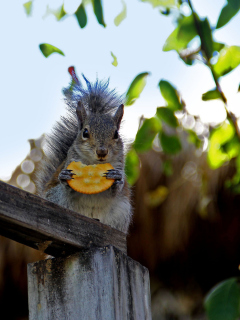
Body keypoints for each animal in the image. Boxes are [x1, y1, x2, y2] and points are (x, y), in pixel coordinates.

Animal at [35, 69, 132, 234]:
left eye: (116, 134)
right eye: (85, 133)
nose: (102, 151)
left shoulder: (120, 164)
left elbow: (117, 189)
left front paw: (117, 179)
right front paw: (65, 177)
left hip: (122, 214)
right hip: (56, 197)